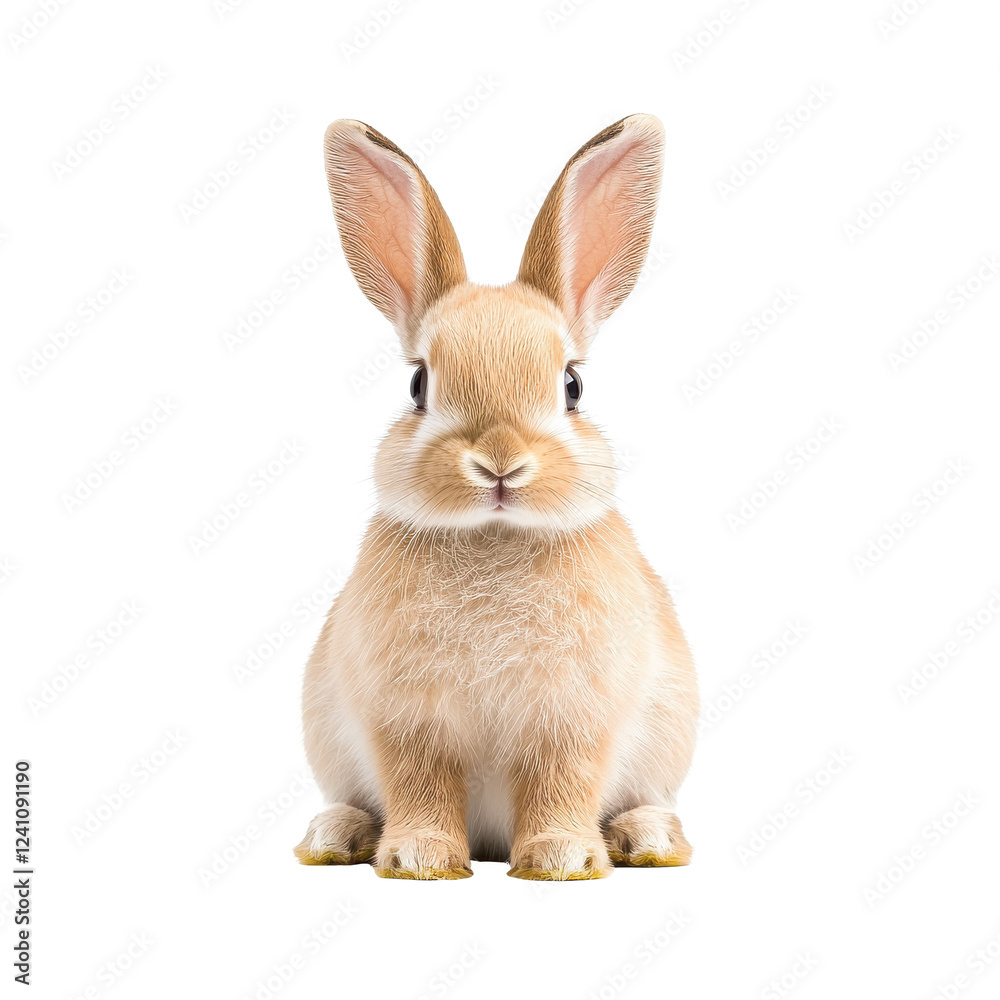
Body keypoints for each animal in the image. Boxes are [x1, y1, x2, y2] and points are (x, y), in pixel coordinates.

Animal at [296, 114, 698, 880]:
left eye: (572, 386)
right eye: (418, 385)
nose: (500, 463)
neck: (494, 537)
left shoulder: (573, 718)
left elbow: (560, 782)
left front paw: (561, 860)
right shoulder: (406, 720)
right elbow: (418, 784)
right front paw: (418, 859)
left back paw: (648, 840)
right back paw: (335, 835)